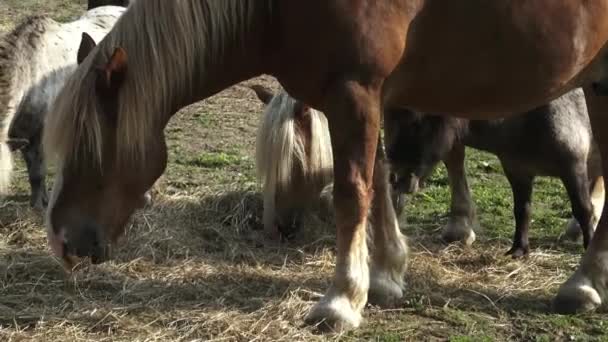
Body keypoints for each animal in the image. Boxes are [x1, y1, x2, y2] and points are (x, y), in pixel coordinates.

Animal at [384, 88, 604, 256]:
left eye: (415, 122)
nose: (395, 178)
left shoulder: (573, 168)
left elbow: (583, 209)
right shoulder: (517, 171)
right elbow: (522, 210)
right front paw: (519, 249)